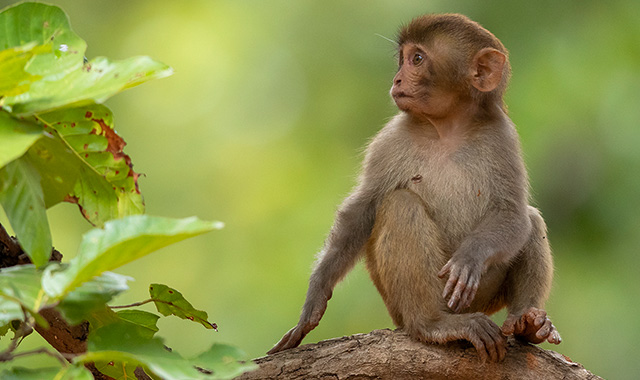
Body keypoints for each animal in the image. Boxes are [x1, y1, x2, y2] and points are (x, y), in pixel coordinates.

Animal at [268, 12, 560, 362]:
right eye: (403, 59)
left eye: (417, 59)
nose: (397, 80)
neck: (447, 128)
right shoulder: (389, 140)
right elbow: (363, 210)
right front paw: (315, 297)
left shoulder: (503, 137)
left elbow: (513, 214)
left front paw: (470, 256)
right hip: (403, 304)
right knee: (400, 204)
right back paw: (433, 324)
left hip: (481, 297)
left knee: (531, 220)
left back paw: (526, 323)